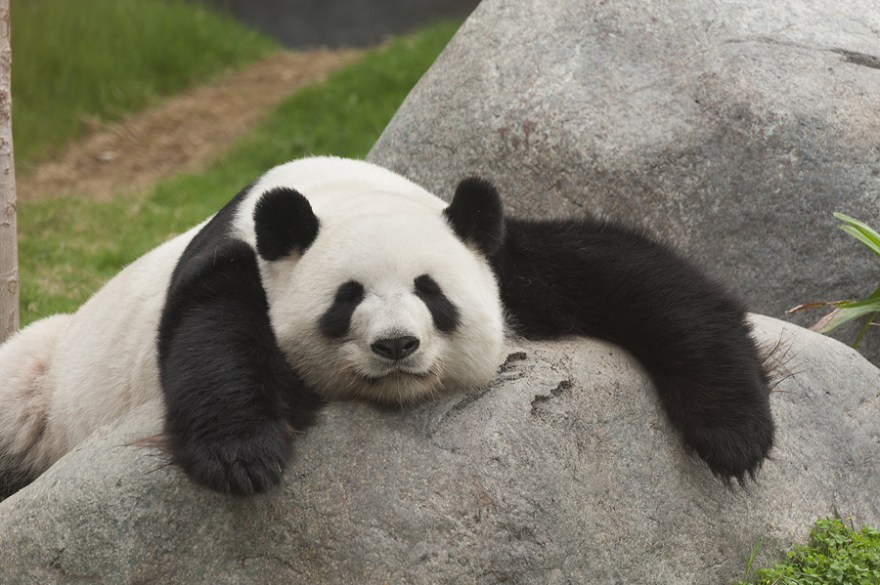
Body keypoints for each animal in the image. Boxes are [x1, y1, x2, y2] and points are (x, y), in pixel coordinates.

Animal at [0, 156, 774, 498]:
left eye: (433, 294)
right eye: (347, 299)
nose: (397, 345)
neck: (340, 195)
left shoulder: (496, 252)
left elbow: (637, 276)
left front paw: (736, 436)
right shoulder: (238, 258)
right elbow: (210, 334)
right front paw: (244, 454)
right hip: (43, 384)